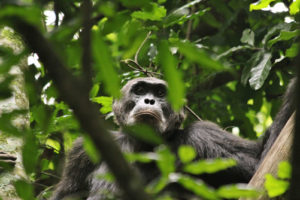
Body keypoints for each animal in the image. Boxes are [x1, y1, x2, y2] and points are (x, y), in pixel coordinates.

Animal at [49, 77, 296, 200]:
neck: (146, 146)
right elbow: (67, 194)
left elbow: (261, 170)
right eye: (139, 90)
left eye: (160, 93)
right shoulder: (82, 151)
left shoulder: (204, 136)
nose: (149, 100)